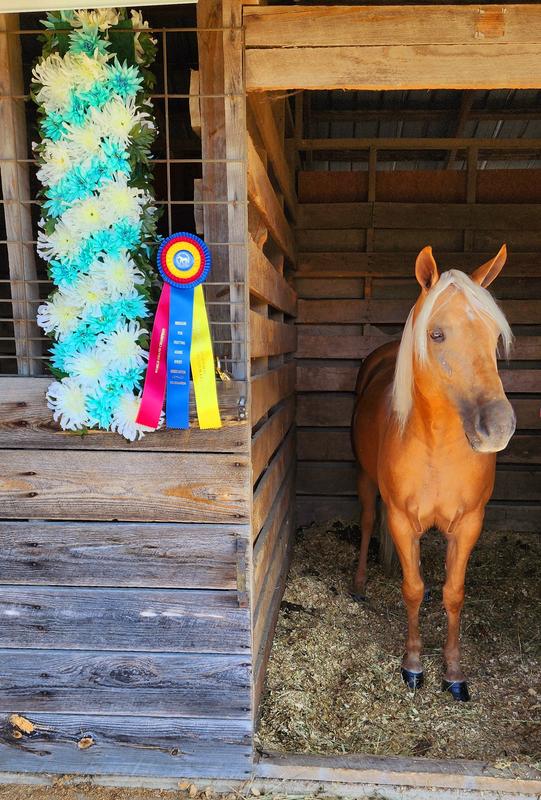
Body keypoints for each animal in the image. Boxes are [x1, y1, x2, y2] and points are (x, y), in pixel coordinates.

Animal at [351, 245, 515, 701]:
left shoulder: (470, 523)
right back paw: (359, 584)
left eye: (495, 336)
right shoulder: (402, 520)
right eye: (436, 334)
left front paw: (454, 673)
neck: (438, 447)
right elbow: (414, 589)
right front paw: (413, 666)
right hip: (366, 481)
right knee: (367, 522)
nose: (498, 427)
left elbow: (453, 593)